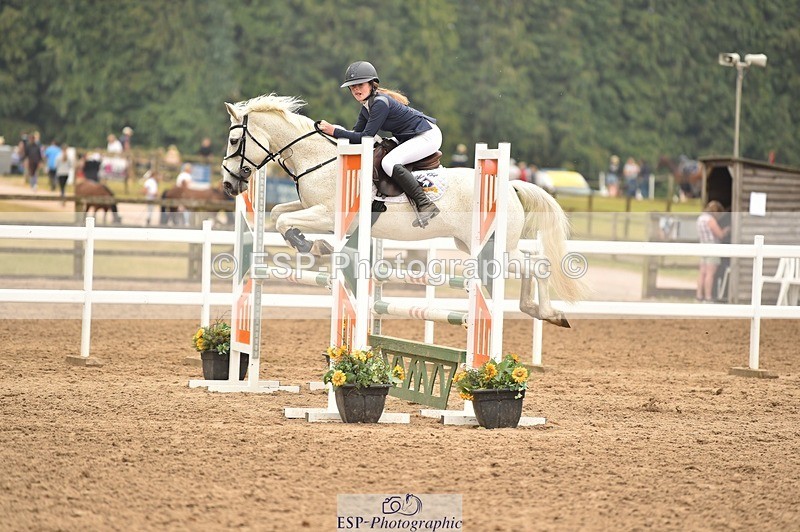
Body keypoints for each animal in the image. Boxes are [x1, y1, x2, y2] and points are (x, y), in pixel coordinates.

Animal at [220, 94, 585, 327]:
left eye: (235, 142)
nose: (228, 185)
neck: (318, 158)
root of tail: (511, 186)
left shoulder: (327, 213)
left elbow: (285, 220)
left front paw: (312, 245)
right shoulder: (312, 207)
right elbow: (278, 212)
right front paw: (311, 244)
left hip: (495, 245)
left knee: (536, 264)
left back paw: (549, 313)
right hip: (475, 244)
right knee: (529, 264)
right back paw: (538, 310)